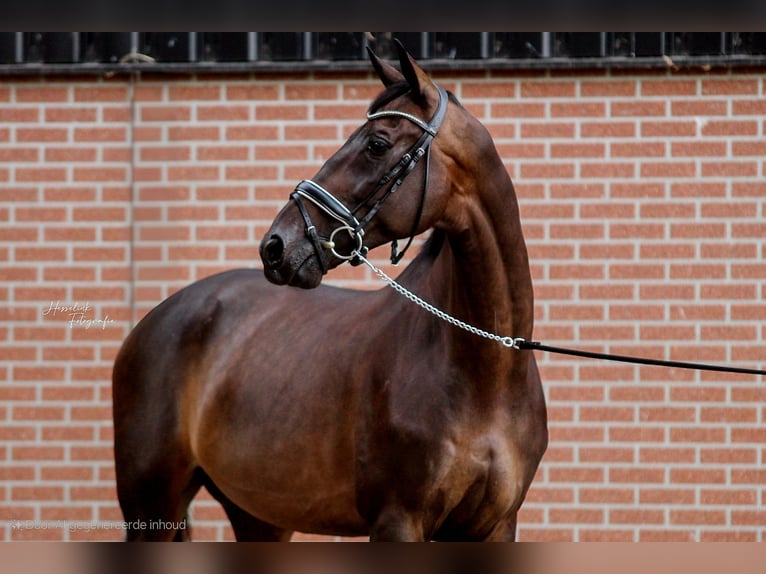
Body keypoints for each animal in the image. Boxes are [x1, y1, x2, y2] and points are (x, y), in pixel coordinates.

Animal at [112, 41, 544, 544]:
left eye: (376, 144)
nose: (275, 246)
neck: (486, 373)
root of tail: (151, 323)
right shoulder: (397, 520)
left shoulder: (496, 526)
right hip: (151, 508)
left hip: (258, 516)